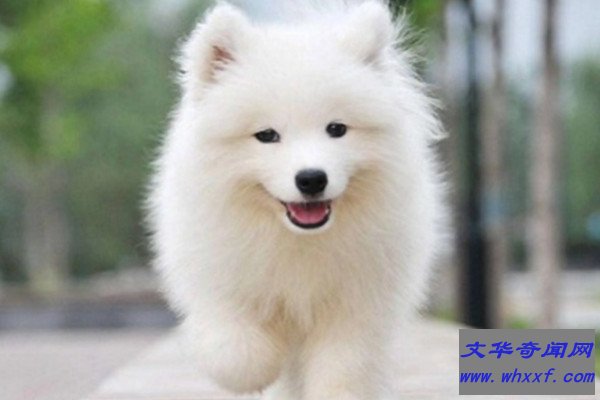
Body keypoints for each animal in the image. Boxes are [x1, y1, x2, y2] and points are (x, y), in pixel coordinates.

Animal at [147, 1, 448, 398]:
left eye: (336, 129)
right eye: (266, 135)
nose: (311, 179)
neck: (298, 240)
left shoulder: (356, 304)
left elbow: (344, 368)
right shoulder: (222, 278)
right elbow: (235, 349)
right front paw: (259, 368)